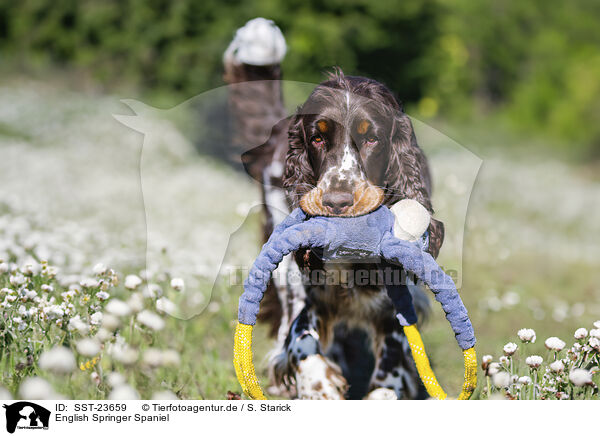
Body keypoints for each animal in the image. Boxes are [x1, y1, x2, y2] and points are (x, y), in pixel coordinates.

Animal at [223, 18, 442, 400]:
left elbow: (390, 371)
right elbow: (300, 343)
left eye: (372, 138)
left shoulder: (394, 308)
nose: (337, 203)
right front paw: (318, 387)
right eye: (317, 138)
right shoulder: (309, 294)